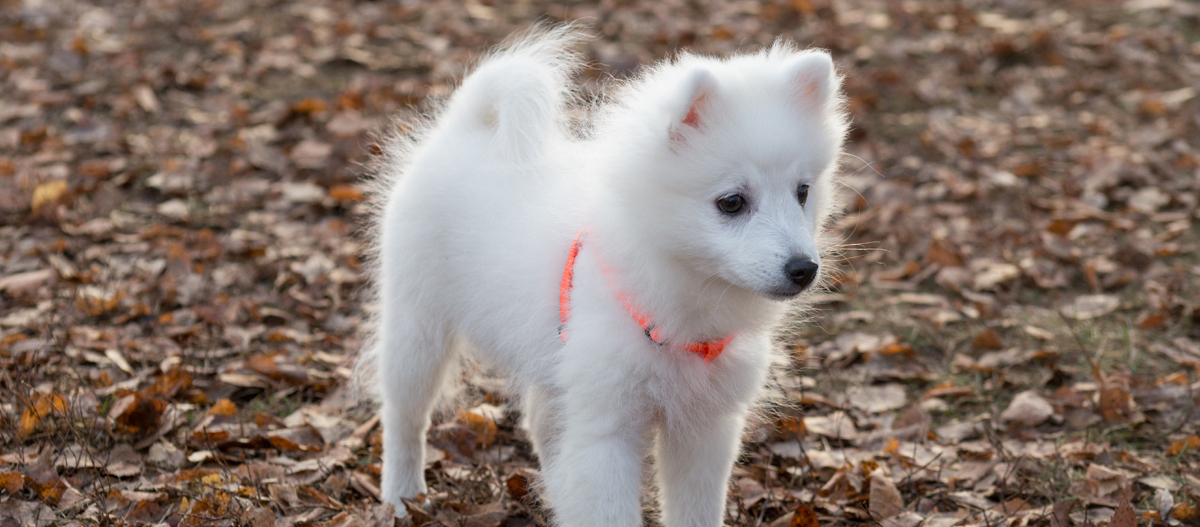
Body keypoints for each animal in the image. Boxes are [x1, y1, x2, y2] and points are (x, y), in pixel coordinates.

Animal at [369, 26, 849, 527]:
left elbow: (695, 509)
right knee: (405, 414)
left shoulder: (705, 428)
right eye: (732, 202)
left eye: (802, 192)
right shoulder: (606, 432)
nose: (804, 269)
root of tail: (468, 127)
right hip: (417, 325)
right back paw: (401, 496)